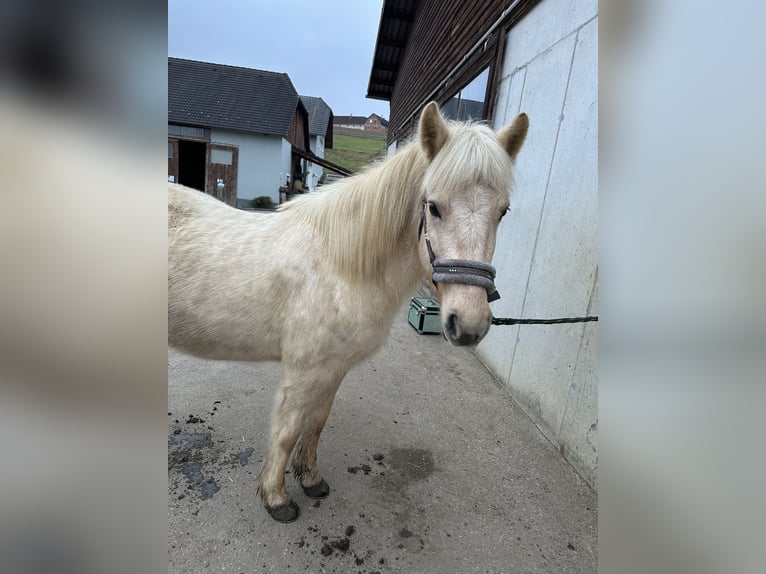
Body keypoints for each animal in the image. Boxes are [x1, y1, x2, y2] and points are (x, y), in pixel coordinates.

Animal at [168, 102, 528, 522]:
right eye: (434, 207)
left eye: (503, 211)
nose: (469, 323)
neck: (339, 265)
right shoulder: (302, 372)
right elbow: (287, 430)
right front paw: (276, 498)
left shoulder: (333, 369)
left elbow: (316, 423)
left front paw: (310, 480)